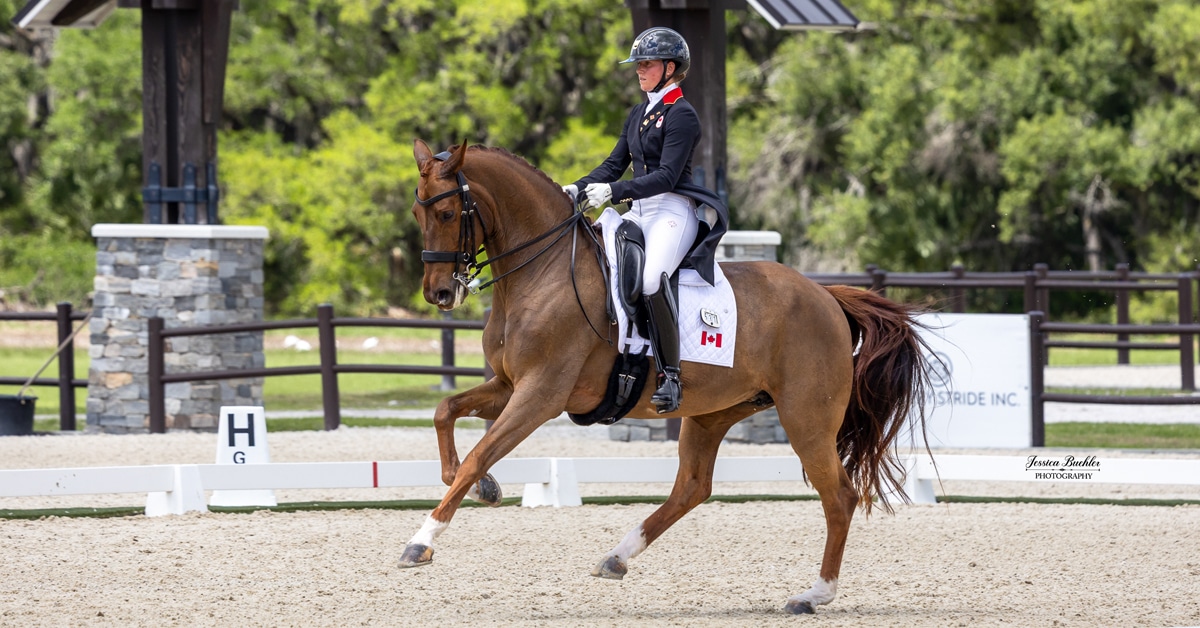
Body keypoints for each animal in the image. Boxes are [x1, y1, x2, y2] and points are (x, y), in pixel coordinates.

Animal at [400, 139, 932, 615]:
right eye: (417, 214)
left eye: (446, 214)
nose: (439, 293)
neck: (543, 272)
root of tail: (826, 297)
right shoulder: (509, 386)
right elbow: (446, 415)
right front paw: (486, 489)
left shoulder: (541, 395)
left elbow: (477, 455)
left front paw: (421, 542)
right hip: (713, 412)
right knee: (692, 488)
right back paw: (617, 557)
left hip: (806, 418)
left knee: (839, 495)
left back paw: (813, 595)